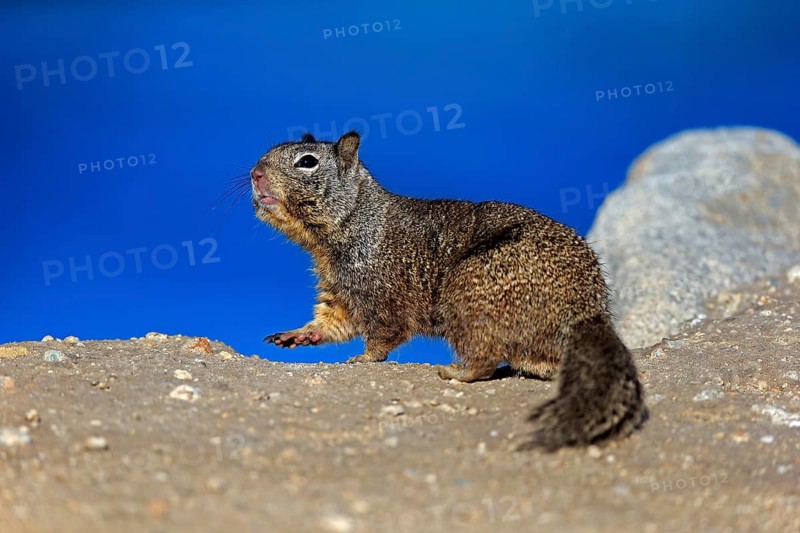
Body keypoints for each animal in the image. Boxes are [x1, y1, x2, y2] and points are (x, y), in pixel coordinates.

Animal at [251, 131, 647, 450]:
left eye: (307, 161)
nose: (255, 173)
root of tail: (586, 310)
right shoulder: (341, 292)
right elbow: (331, 322)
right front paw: (294, 334)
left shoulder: (380, 291)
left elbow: (383, 333)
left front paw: (363, 359)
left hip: (468, 293)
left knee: (485, 360)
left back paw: (456, 372)